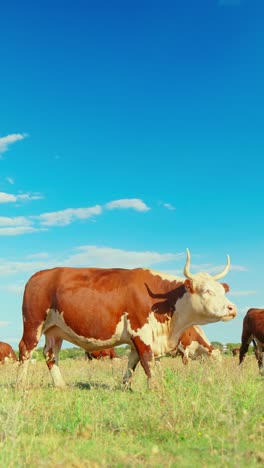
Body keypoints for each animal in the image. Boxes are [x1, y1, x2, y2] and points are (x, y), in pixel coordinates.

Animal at [17, 250, 237, 390]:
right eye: (206, 290)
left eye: (221, 290)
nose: (232, 308)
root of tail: (39, 275)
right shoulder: (141, 332)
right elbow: (147, 360)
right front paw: (154, 387)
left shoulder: (137, 339)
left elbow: (133, 362)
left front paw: (125, 386)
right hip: (34, 324)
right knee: (26, 349)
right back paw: (21, 384)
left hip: (55, 330)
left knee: (50, 354)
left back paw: (60, 385)